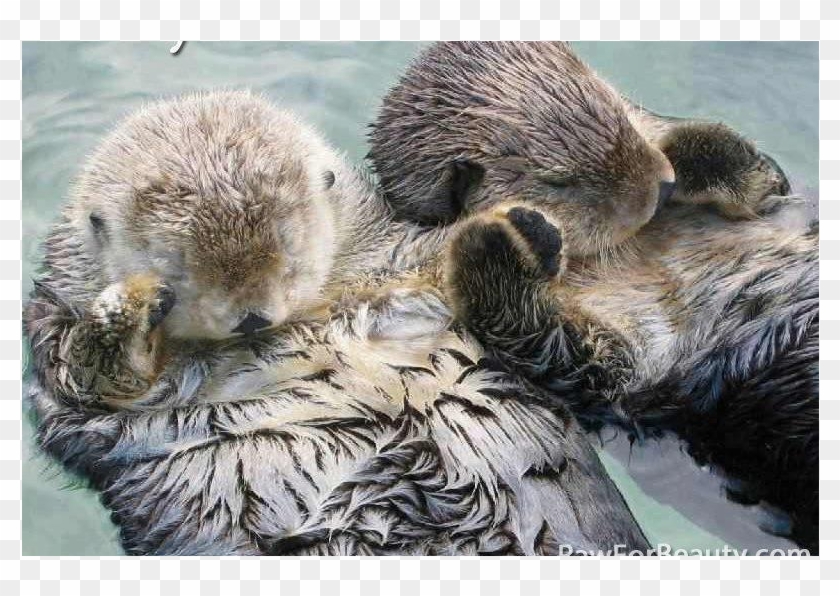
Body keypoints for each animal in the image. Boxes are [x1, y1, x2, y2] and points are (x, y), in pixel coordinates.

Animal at [24, 91, 649, 555]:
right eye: (176, 269)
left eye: (290, 249)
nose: (252, 317)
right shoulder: (64, 357)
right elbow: (95, 379)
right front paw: (129, 303)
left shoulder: (398, 266)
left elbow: (600, 368)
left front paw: (523, 228)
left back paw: (498, 242)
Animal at [368, 42, 817, 552]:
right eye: (559, 181)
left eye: (619, 113)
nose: (662, 186)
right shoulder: (628, 368)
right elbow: (556, 349)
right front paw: (501, 237)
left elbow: (769, 177)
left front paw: (689, 156)